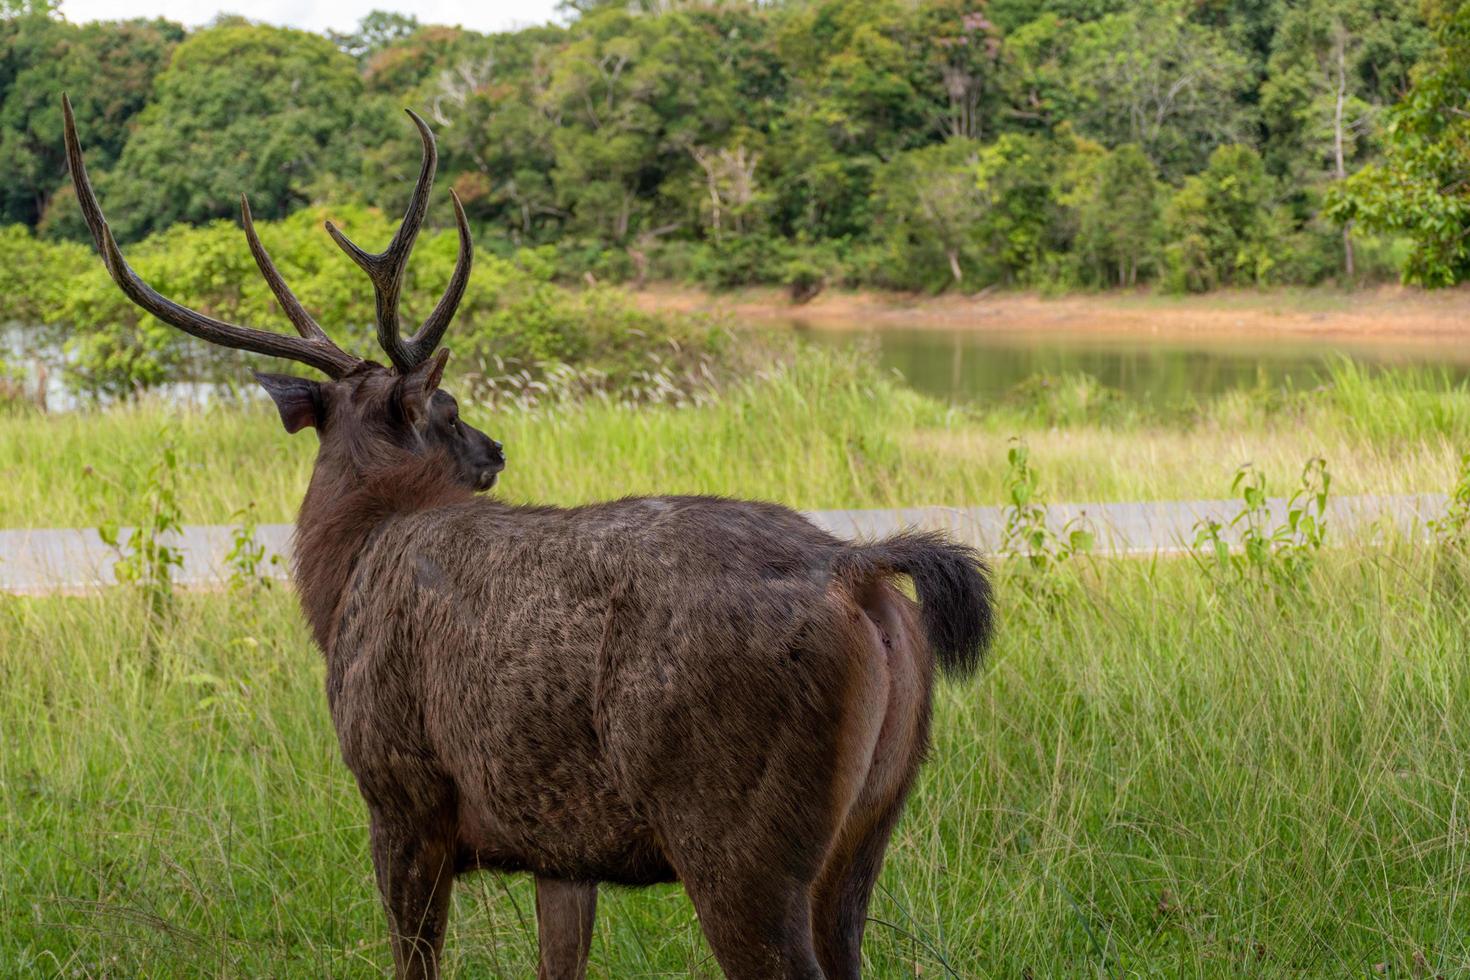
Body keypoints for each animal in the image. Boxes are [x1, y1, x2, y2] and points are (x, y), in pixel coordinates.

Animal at [63, 94, 993, 980]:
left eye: (446, 405)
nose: (495, 448)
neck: (348, 572)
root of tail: (859, 569)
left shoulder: (401, 792)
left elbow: (416, 962)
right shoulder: (560, 845)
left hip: (737, 832)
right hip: (868, 829)